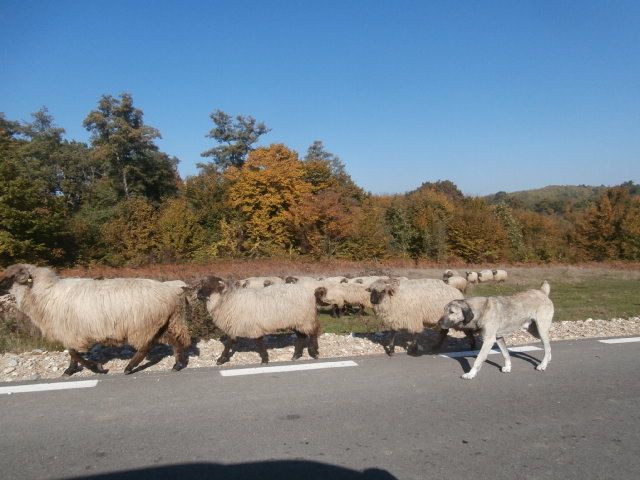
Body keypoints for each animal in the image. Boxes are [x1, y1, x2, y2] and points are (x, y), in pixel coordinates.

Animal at [0, 264, 191, 376]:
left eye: (9, 277)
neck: (43, 294)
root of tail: (171, 290)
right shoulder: (71, 332)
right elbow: (72, 353)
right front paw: (71, 370)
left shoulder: (70, 332)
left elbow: (74, 353)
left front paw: (95, 368)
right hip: (162, 323)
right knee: (174, 341)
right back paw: (177, 364)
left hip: (143, 325)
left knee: (145, 348)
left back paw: (129, 368)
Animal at [196, 278, 324, 364]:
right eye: (203, 284)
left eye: (210, 287)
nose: (198, 295)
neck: (229, 300)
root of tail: (310, 293)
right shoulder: (235, 325)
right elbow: (230, 342)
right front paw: (222, 359)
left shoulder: (250, 325)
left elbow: (257, 342)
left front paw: (264, 359)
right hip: (296, 320)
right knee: (301, 336)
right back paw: (296, 355)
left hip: (306, 318)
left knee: (313, 332)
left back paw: (314, 352)